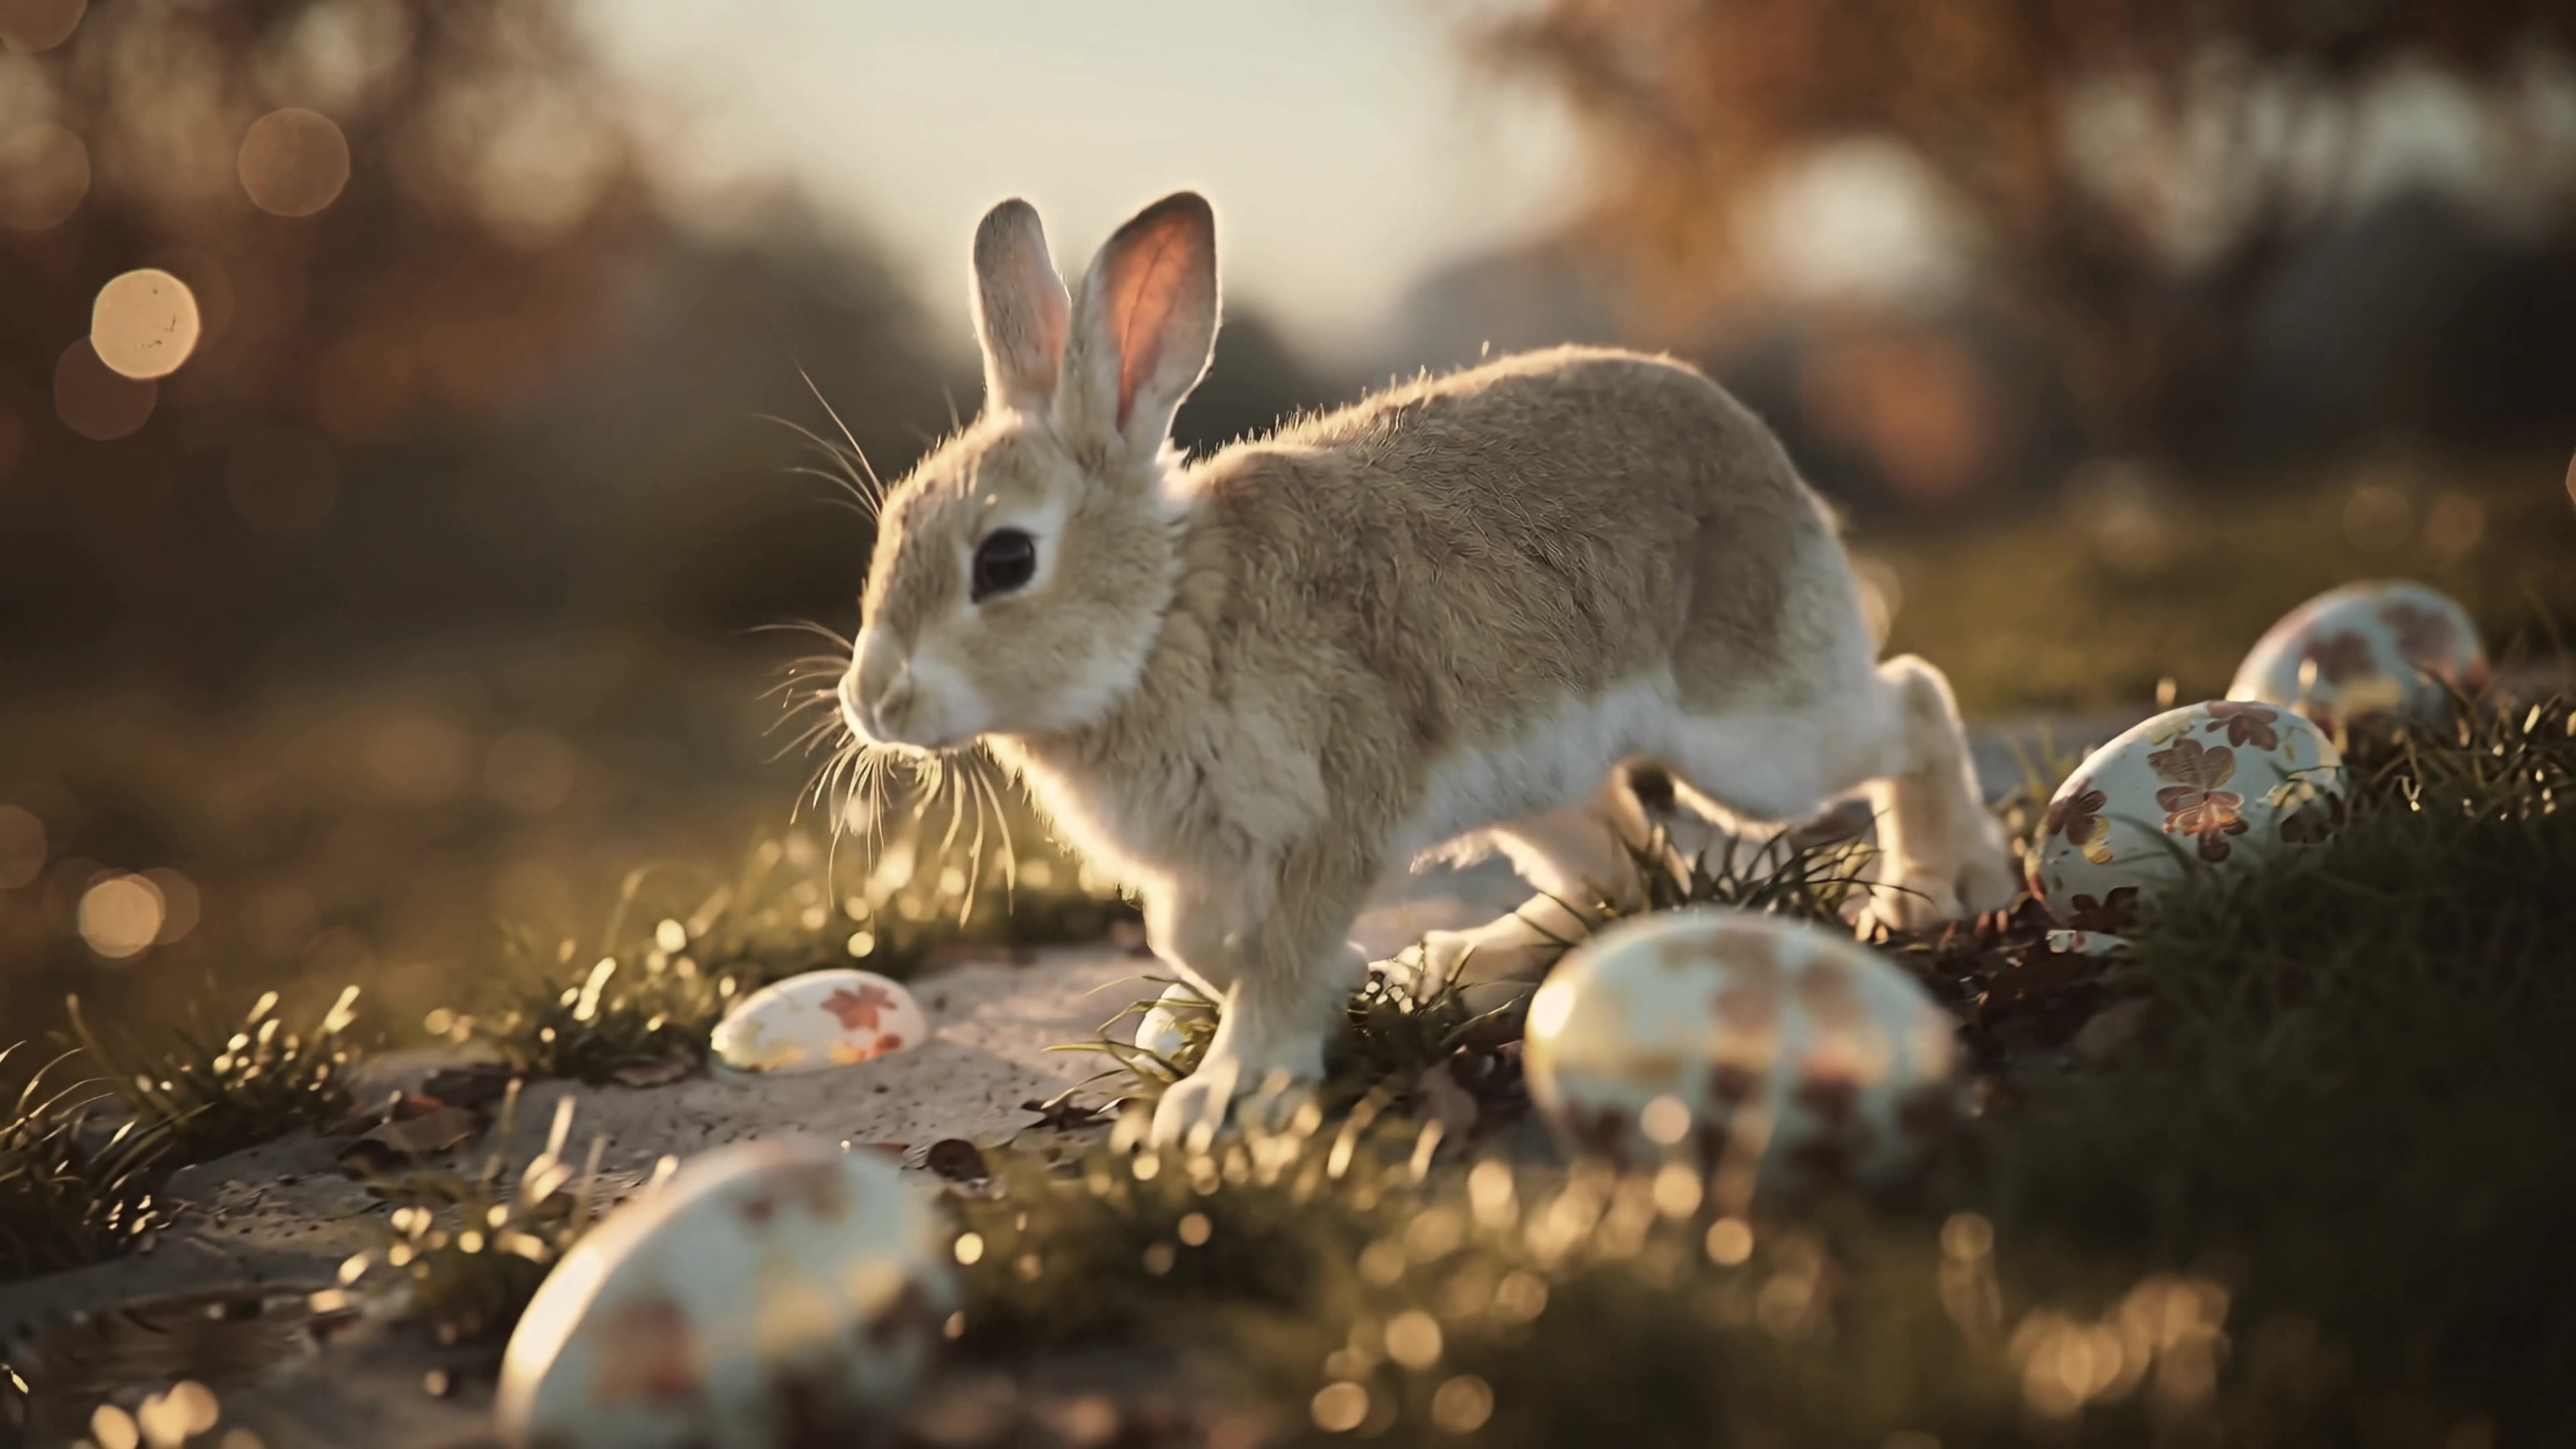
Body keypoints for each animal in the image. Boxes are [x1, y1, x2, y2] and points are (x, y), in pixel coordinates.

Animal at [836, 191, 2017, 1149]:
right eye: (893, 527)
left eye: (1005, 560)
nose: (873, 702)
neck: (1164, 620)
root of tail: (1762, 451)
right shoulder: (1202, 864)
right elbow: (1197, 941)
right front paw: (1339, 989)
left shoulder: (1338, 811)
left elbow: (1280, 952)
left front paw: (1233, 1095)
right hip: (1544, 784)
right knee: (1626, 874)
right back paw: (1449, 968)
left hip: (1751, 736)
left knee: (1911, 700)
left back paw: (1940, 888)